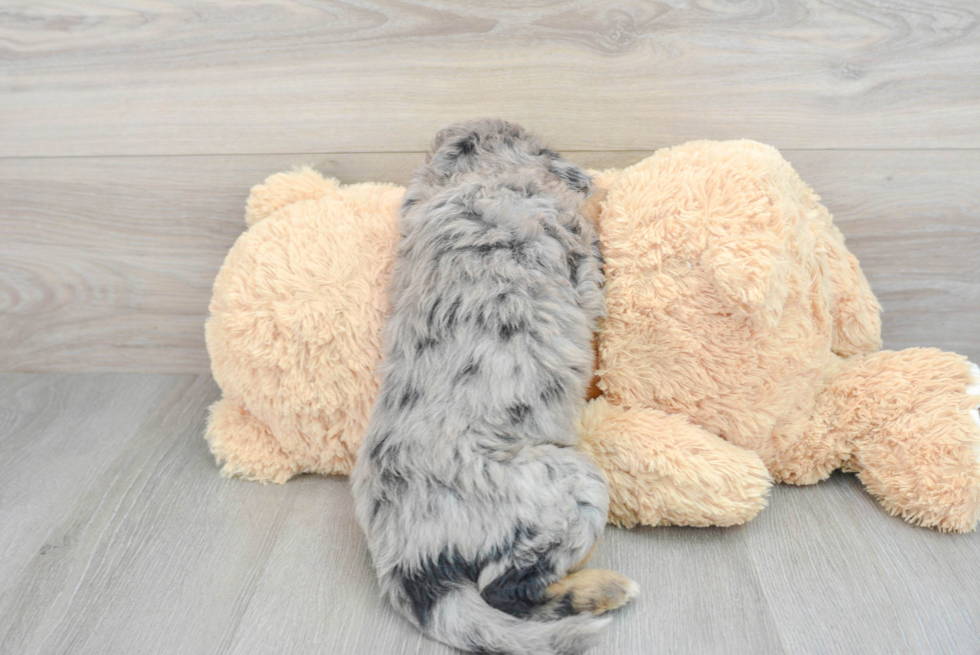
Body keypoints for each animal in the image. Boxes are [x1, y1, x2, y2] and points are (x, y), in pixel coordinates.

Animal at [352, 119, 636, 655]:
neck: (474, 179)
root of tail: (407, 559)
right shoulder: (578, 262)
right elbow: (593, 263)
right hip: (570, 485)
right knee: (506, 590)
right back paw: (603, 590)